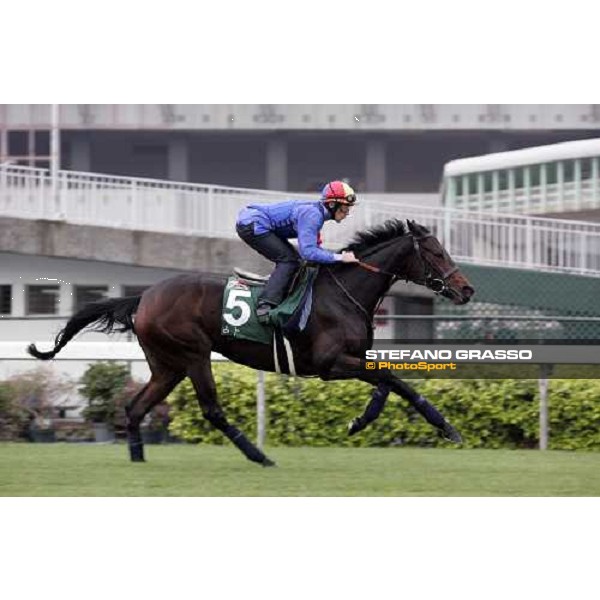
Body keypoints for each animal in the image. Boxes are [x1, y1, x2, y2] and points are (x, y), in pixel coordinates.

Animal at [29, 219, 474, 464]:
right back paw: (260, 456)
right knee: (211, 410)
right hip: (193, 354)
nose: (466, 289)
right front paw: (448, 428)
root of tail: (144, 298)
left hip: (167, 364)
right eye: (436, 252)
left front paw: (358, 421)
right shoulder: (329, 364)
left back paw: (138, 458)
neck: (342, 292)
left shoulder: (350, 360)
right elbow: (396, 380)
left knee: (135, 407)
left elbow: (384, 384)